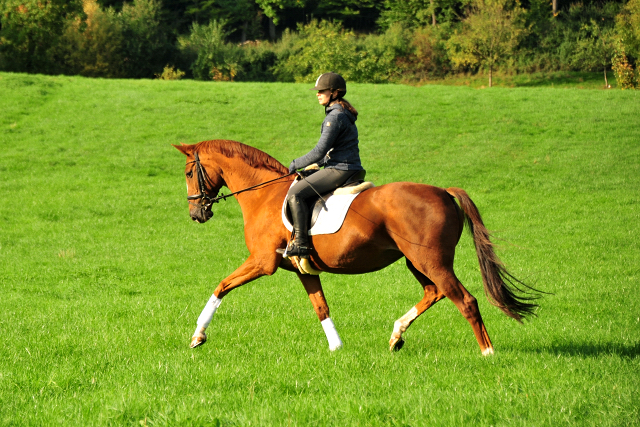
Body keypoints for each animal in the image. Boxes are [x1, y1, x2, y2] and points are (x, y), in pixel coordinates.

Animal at [172, 140, 536, 354]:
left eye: (189, 172)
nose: (196, 213)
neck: (264, 194)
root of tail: (443, 192)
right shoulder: (302, 269)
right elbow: (321, 307)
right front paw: (337, 348)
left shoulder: (262, 262)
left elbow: (221, 286)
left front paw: (197, 336)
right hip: (415, 261)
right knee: (435, 292)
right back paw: (396, 335)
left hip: (430, 261)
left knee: (465, 300)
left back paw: (487, 353)